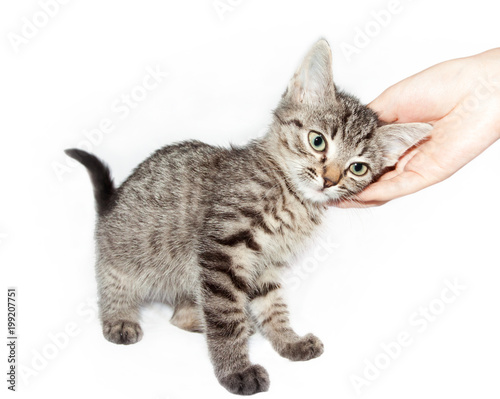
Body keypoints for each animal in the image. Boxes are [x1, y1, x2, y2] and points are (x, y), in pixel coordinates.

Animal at [66, 39, 432, 396]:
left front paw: (288, 340)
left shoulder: (264, 263)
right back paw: (120, 318)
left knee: (180, 314)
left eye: (358, 168)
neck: (292, 200)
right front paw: (236, 370)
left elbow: (271, 305)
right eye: (317, 141)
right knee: (113, 281)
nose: (329, 180)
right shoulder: (224, 250)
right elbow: (225, 317)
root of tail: (112, 205)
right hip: (126, 251)